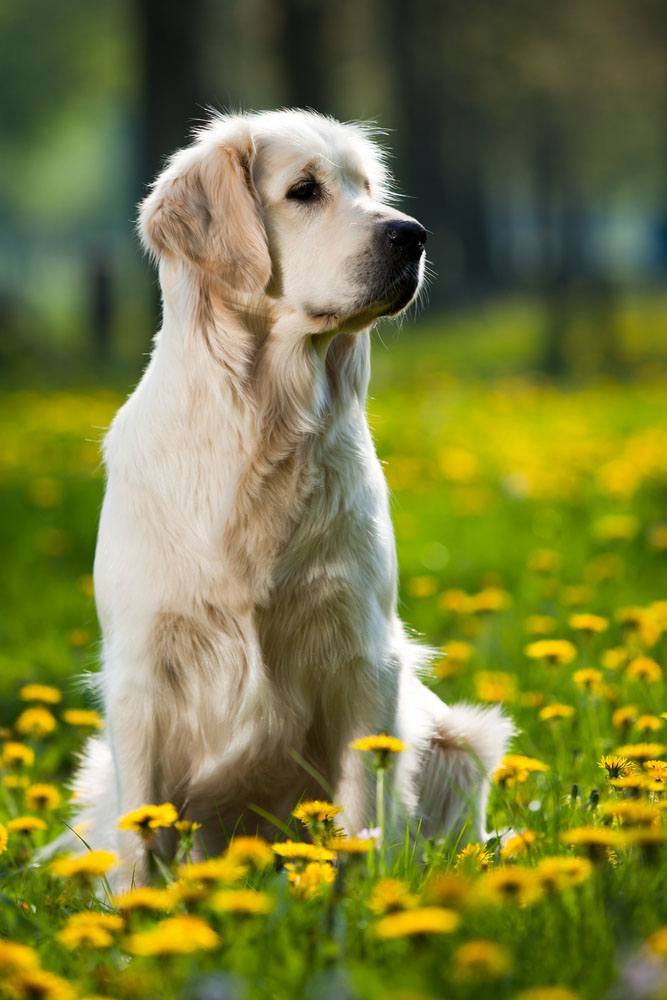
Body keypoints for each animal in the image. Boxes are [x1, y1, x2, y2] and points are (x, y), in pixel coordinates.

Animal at [60, 113, 516, 888]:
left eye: (369, 187)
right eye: (304, 190)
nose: (413, 235)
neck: (267, 425)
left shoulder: (363, 654)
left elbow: (361, 804)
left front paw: (358, 894)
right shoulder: (142, 670)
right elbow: (140, 835)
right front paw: (137, 915)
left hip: (459, 741)